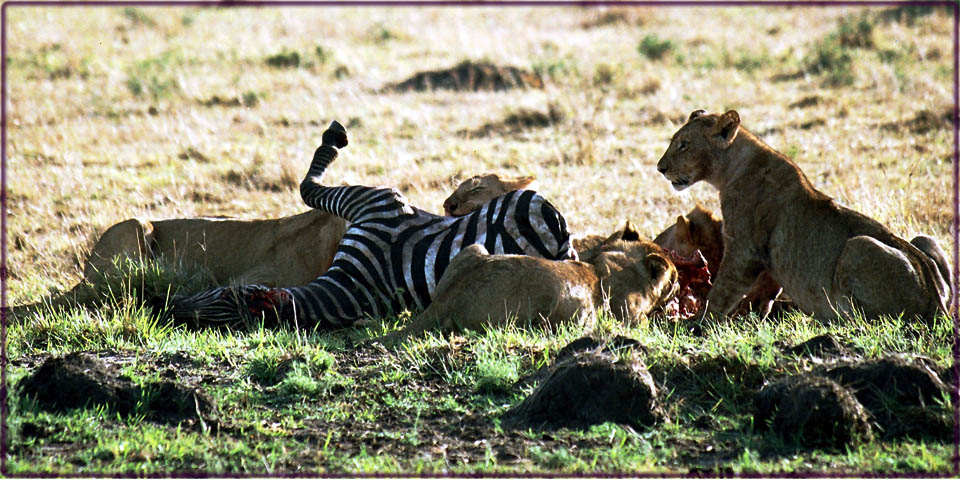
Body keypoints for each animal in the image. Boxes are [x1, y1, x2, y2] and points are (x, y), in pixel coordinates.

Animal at [372, 238, 680, 344]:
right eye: (675, 276)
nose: (678, 283)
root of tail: (449, 297)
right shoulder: (629, 316)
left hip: (475, 249)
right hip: (560, 297)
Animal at [656, 109, 948, 322]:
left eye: (684, 145)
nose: (661, 168)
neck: (731, 169)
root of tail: (938, 305)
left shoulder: (743, 249)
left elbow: (722, 289)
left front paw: (697, 321)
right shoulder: (768, 258)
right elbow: (766, 290)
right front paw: (751, 315)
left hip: (858, 246)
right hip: (924, 240)